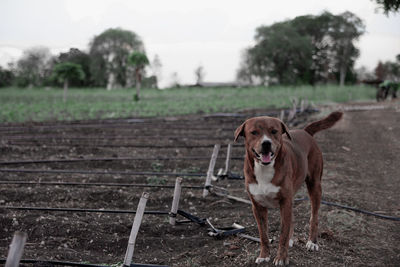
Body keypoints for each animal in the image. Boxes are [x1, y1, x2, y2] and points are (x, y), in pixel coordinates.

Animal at [234, 111, 344, 266]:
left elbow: (283, 234)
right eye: (254, 132)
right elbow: (263, 235)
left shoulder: (285, 202)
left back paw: (312, 242)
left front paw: (281, 258)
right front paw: (264, 255)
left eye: (274, 131)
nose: (266, 143)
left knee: (314, 216)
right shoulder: (258, 206)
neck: (264, 168)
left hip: (315, 185)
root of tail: (305, 131)